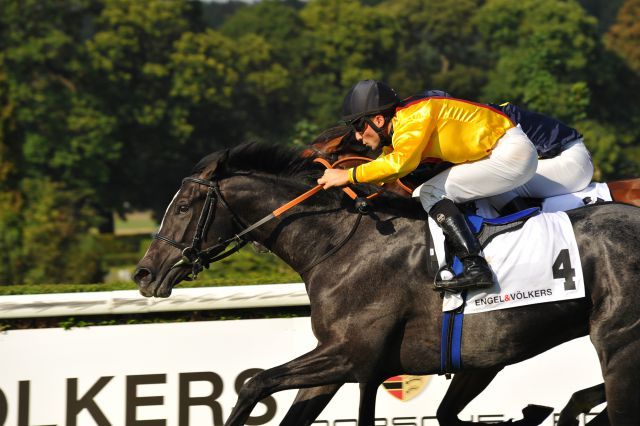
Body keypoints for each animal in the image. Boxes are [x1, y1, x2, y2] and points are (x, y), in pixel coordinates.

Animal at [132, 144, 636, 426]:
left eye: (183, 207)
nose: (143, 274)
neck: (338, 244)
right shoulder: (343, 359)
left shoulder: (354, 354)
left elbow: (255, 383)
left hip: (619, 343)